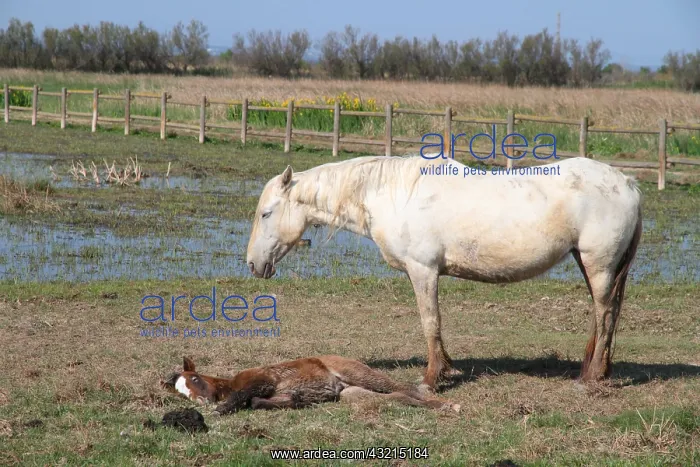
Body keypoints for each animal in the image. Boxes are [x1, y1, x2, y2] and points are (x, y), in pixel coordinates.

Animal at [246, 155, 642, 391]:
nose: (252, 264)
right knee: (603, 314)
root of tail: (626, 183)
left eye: (266, 213)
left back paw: (591, 378)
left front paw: (432, 378)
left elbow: (430, 322)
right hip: (589, 263)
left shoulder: (423, 271)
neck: (393, 195)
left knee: (606, 312)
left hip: (598, 263)